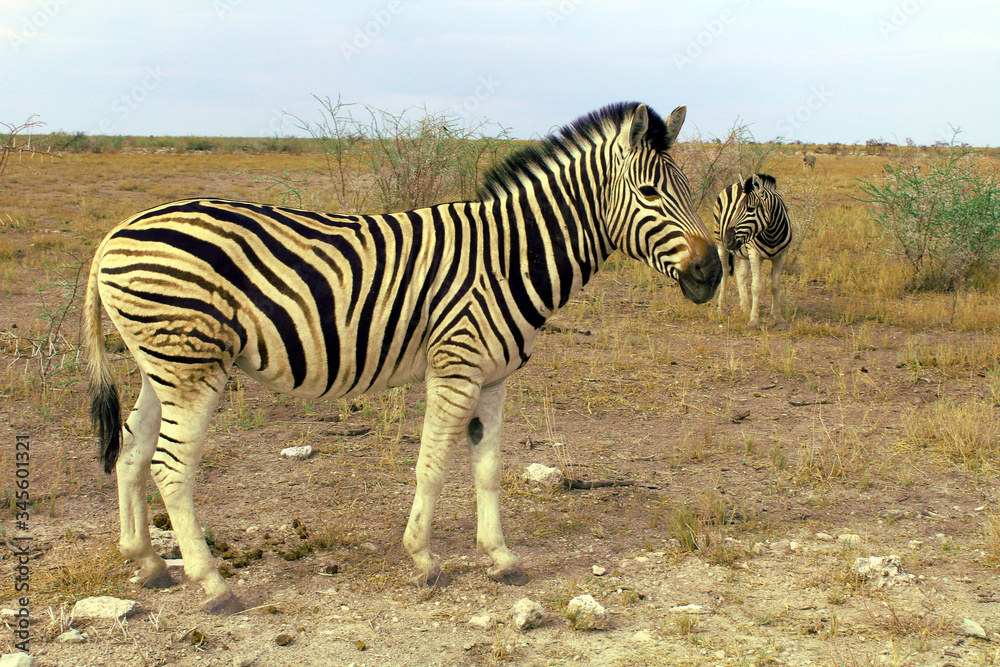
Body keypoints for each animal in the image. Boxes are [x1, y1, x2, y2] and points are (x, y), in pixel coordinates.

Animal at [85, 102, 722, 614]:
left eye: (689, 191)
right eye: (649, 195)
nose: (712, 272)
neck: (509, 257)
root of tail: (114, 233)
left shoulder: (495, 379)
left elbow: (488, 468)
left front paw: (502, 557)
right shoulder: (456, 366)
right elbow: (432, 465)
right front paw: (423, 559)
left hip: (159, 367)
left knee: (133, 450)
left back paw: (148, 564)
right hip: (191, 366)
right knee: (171, 466)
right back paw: (212, 585)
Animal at [713, 173, 792, 328]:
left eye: (750, 209)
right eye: (737, 208)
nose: (728, 240)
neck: (772, 234)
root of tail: (737, 183)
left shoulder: (781, 255)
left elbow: (775, 286)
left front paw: (778, 318)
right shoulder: (755, 253)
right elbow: (757, 287)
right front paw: (754, 320)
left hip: (743, 252)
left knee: (741, 274)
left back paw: (745, 308)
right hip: (720, 241)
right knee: (725, 271)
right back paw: (721, 308)